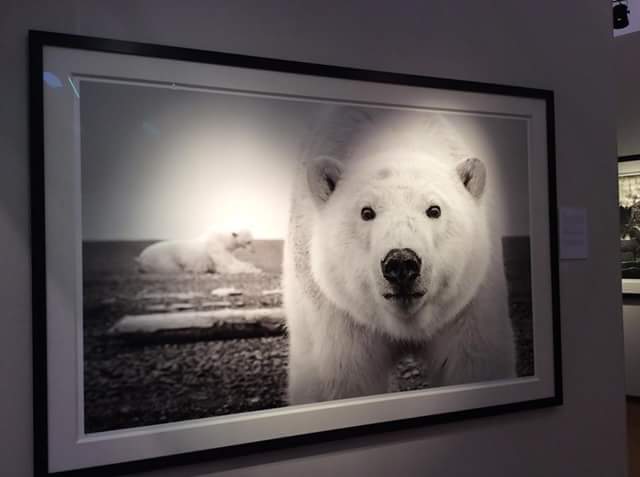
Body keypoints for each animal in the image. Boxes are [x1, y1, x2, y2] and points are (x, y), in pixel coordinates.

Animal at [283, 108, 516, 405]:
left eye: (434, 209)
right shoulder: (338, 313)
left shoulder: (470, 302)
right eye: (366, 212)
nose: (402, 263)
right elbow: (343, 378)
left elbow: (474, 360)